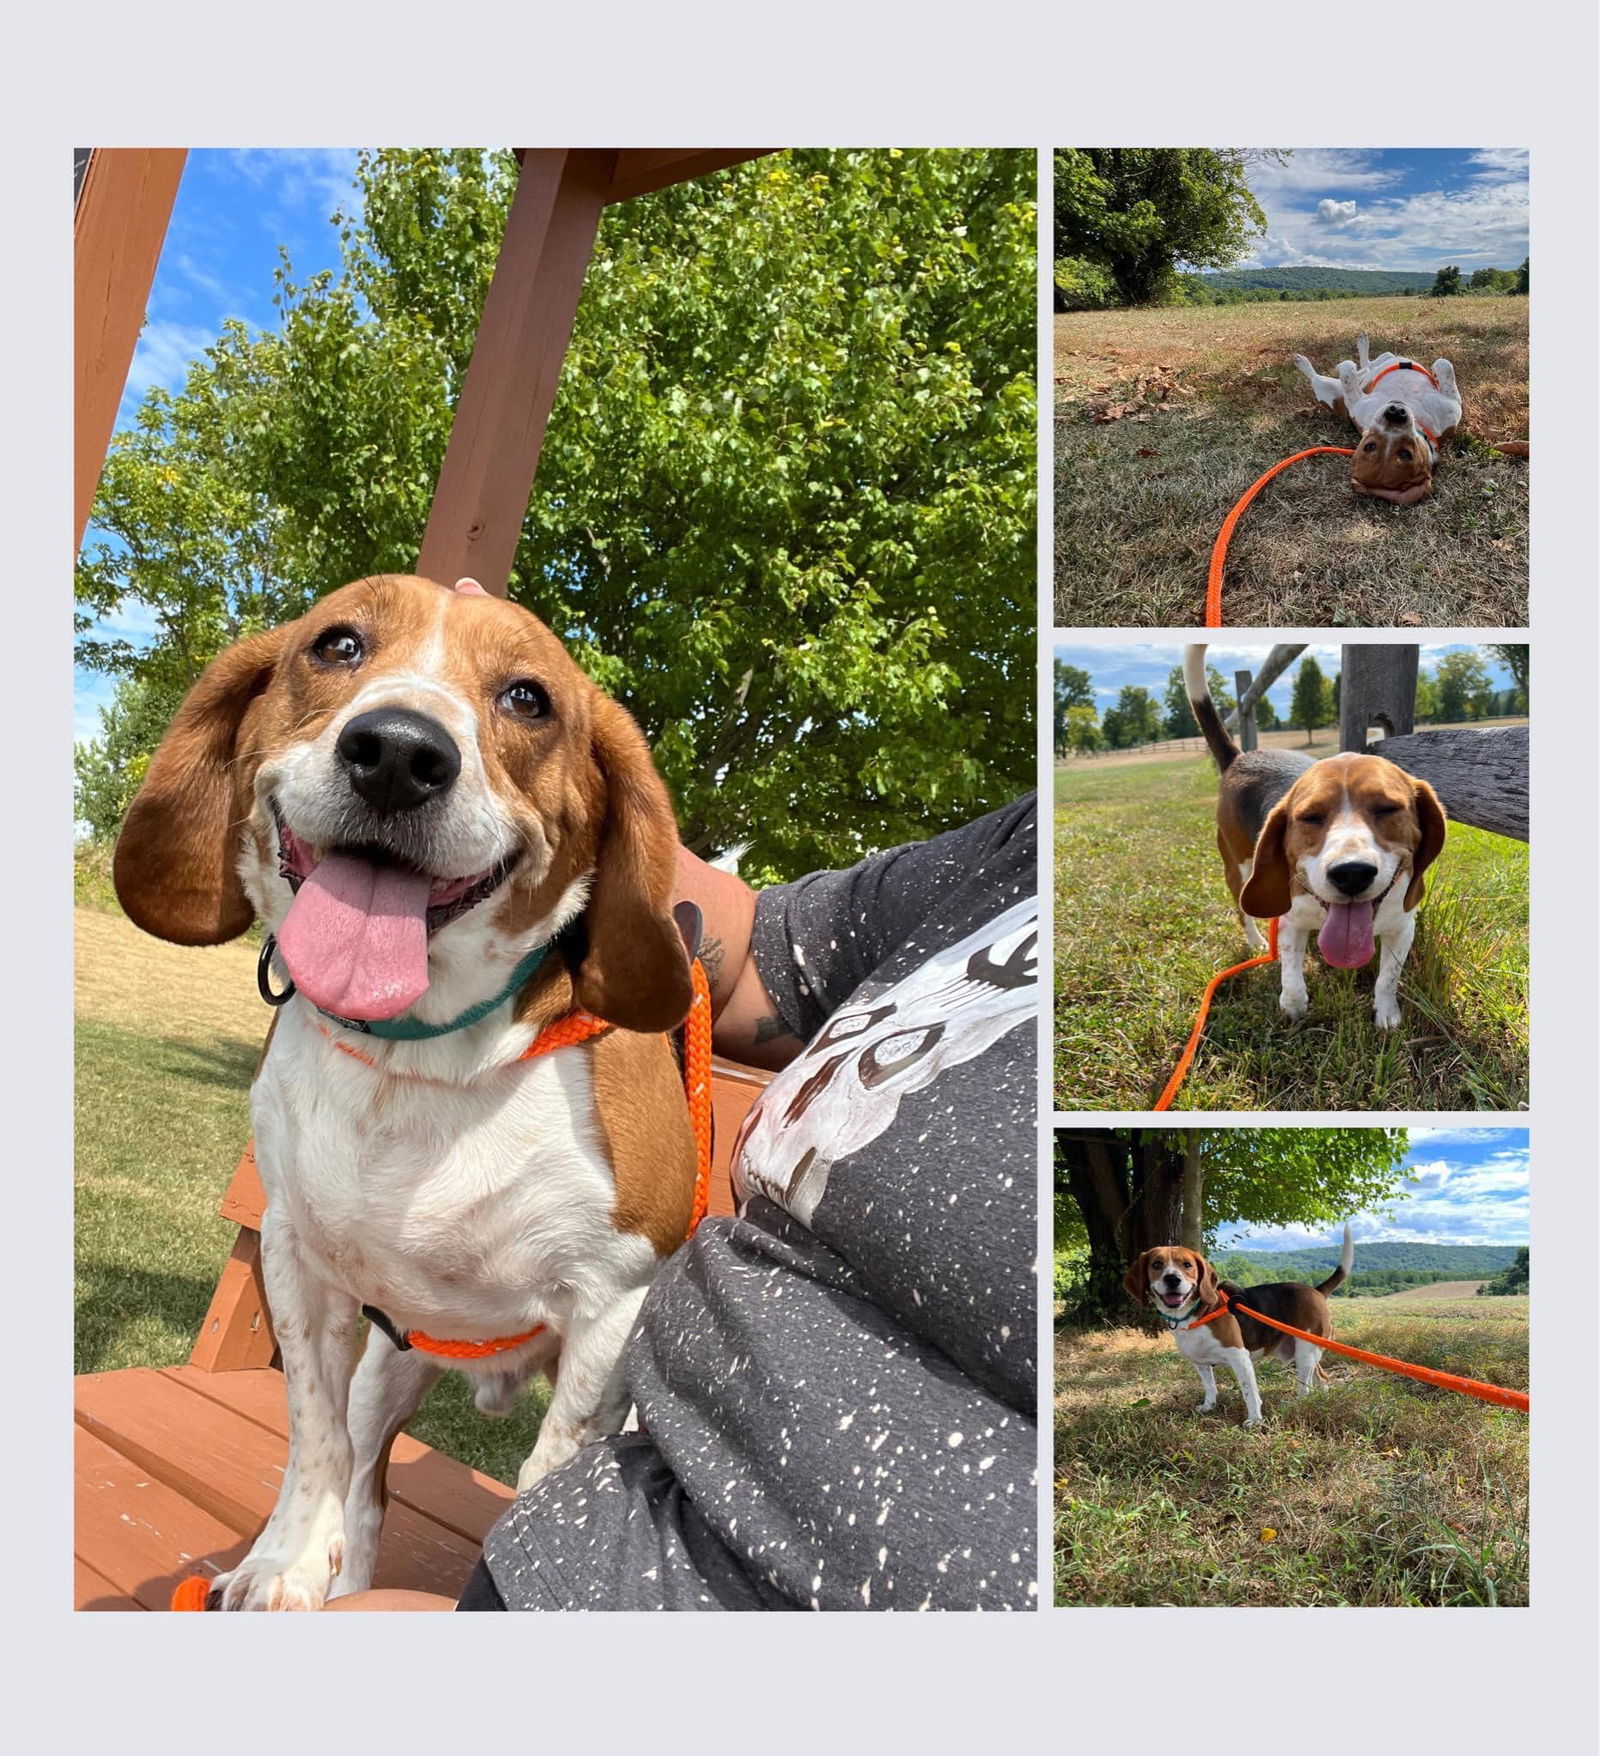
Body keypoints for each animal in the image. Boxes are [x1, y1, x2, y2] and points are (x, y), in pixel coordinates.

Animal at [115, 572, 702, 1608]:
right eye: (338, 644)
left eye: (528, 698)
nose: (396, 753)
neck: (419, 1059)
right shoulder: (297, 1261)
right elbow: (315, 1441)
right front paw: (281, 1561)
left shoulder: (614, 1305)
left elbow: (545, 1483)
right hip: (390, 1366)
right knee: (363, 1491)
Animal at [1124, 1222, 1348, 1425]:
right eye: (1156, 1265)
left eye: (1187, 1265)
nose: (1172, 1279)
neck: (1196, 1314)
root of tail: (1316, 1290)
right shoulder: (1200, 1362)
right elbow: (1210, 1386)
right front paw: (1209, 1406)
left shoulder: (1240, 1358)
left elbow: (1250, 1393)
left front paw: (1255, 1420)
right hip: (1305, 1353)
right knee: (1322, 1378)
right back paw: (1321, 1399)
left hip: (1304, 1353)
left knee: (1305, 1387)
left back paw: (1292, 1405)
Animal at [1173, 646, 1454, 1025]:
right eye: (1310, 817)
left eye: (1387, 809)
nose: (1352, 873)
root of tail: (1240, 757)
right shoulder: (1290, 920)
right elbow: (1291, 971)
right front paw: (1292, 1006)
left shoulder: (1402, 926)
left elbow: (1387, 977)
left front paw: (1387, 1015)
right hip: (1238, 868)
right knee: (1243, 911)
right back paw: (1257, 943)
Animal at [1292, 330, 1461, 502]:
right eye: (1370, 446)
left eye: (1406, 454)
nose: (1395, 413)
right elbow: (1444, 363)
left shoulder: (1452, 405)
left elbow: (1444, 364)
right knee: (1365, 365)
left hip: (1326, 386)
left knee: (1356, 368)